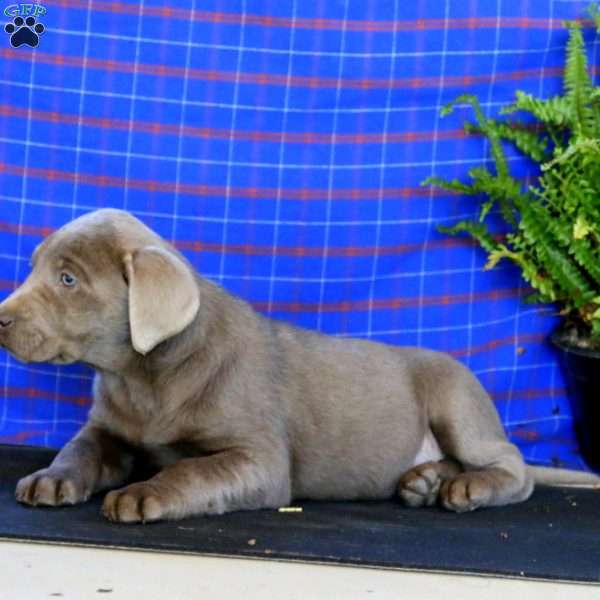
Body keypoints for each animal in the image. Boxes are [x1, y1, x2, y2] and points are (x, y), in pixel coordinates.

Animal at [0, 210, 596, 520]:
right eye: (36, 268)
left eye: (68, 279)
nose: (0, 318)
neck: (143, 375)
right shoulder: (109, 429)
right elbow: (80, 448)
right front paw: (52, 478)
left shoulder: (259, 460)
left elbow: (192, 469)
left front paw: (145, 493)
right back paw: (426, 480)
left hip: (456, 400)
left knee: (513, 464)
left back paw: (469, 488)